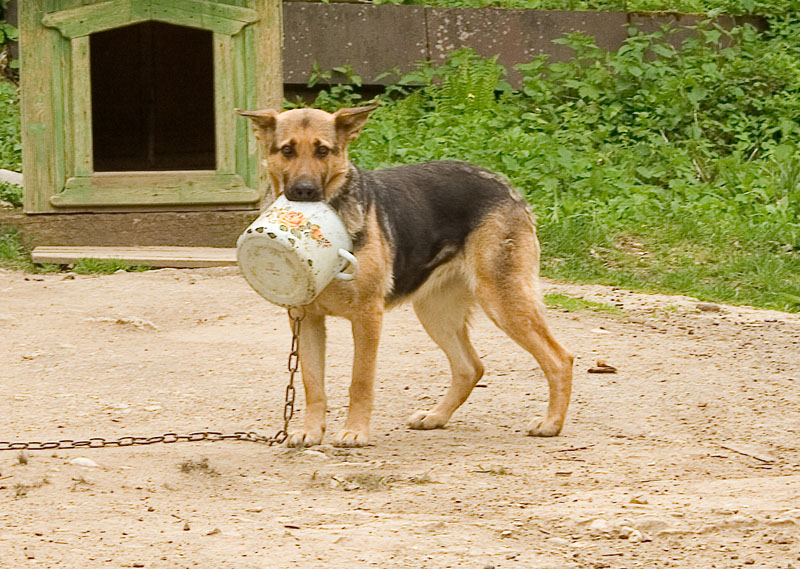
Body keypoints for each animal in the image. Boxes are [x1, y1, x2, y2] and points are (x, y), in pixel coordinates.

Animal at [238, 103, 576, 448]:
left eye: (323, 151)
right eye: (287, 150)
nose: (304, 192)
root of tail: (506, 185)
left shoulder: (367, 317)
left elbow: (360, 381)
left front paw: (356, 431)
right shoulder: (306, 321)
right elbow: (312, 383)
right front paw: (310, 430)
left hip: (501, 300)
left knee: (559, 358)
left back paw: (551, 423)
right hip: (435, 312)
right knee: (470, 367)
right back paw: (437, 416)